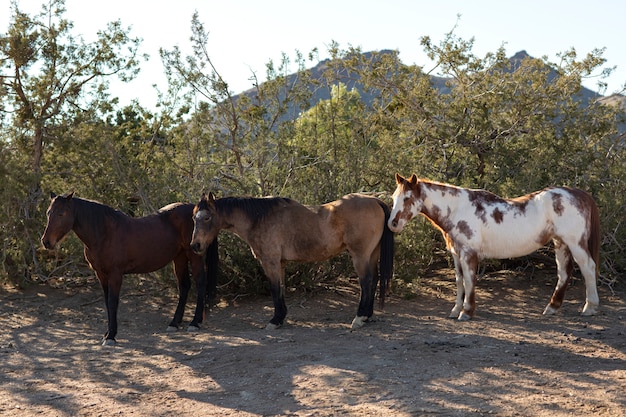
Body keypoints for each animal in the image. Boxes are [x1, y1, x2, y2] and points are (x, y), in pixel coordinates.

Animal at [40, 192, 217, 344]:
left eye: (61, 214)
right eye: (48, 213)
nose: (46, 242)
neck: (104, 233)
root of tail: (194, 210)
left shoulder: (115, 274)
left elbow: (113, 302)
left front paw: (111, 336)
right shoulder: (101, 274)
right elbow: (107, 302)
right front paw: (107, 333)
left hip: (194, 255)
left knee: (200, 282)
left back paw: (194, 322)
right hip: (179, 257)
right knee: (184, 285)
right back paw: (174, 323)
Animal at [191, 191, 394, 328]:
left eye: (207, 218)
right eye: (194, 218)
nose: (195, 245)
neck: (260, 218)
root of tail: (375, 201)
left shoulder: (270, 262)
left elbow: (274, 289)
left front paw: (274, 320)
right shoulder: (280, 263)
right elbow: (280, 289)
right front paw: (280, 318)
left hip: (360, 255)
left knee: (366, 282)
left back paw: (359, 318)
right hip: (371, 254)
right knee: (374, 280)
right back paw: (368, 316)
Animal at [388, 172, 596, 318]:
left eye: (407, 198)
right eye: (393, 198)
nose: (393, 224)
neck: (457, 209)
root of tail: (579, 193)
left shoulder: (468, 254)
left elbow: (469, 280)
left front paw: (466, 312)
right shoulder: (456, 254)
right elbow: (459, 281)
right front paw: (455, 310)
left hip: (575, 243)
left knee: (588, 268)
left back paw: (590, 307)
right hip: (560, 243)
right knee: (563, 273)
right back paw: (551, 308)